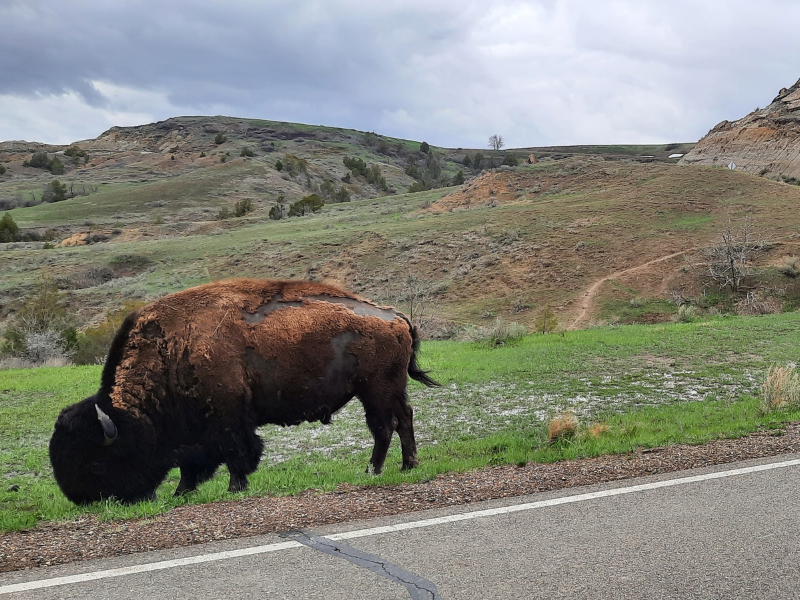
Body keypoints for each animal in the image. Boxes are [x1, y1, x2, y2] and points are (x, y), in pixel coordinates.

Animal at [49, 279, 438, 505]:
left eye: (96, 463)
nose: (86, 500)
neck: (170, 352)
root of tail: (397, 317)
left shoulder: (228, 418)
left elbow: (236, 453)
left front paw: (235, 487)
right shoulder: (195, 433)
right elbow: (192, 464)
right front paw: (182, 492)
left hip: (377, 389)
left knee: (387, 426)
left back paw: (380, 470)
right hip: (385, 390)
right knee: (400, 421)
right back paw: (400, 466)